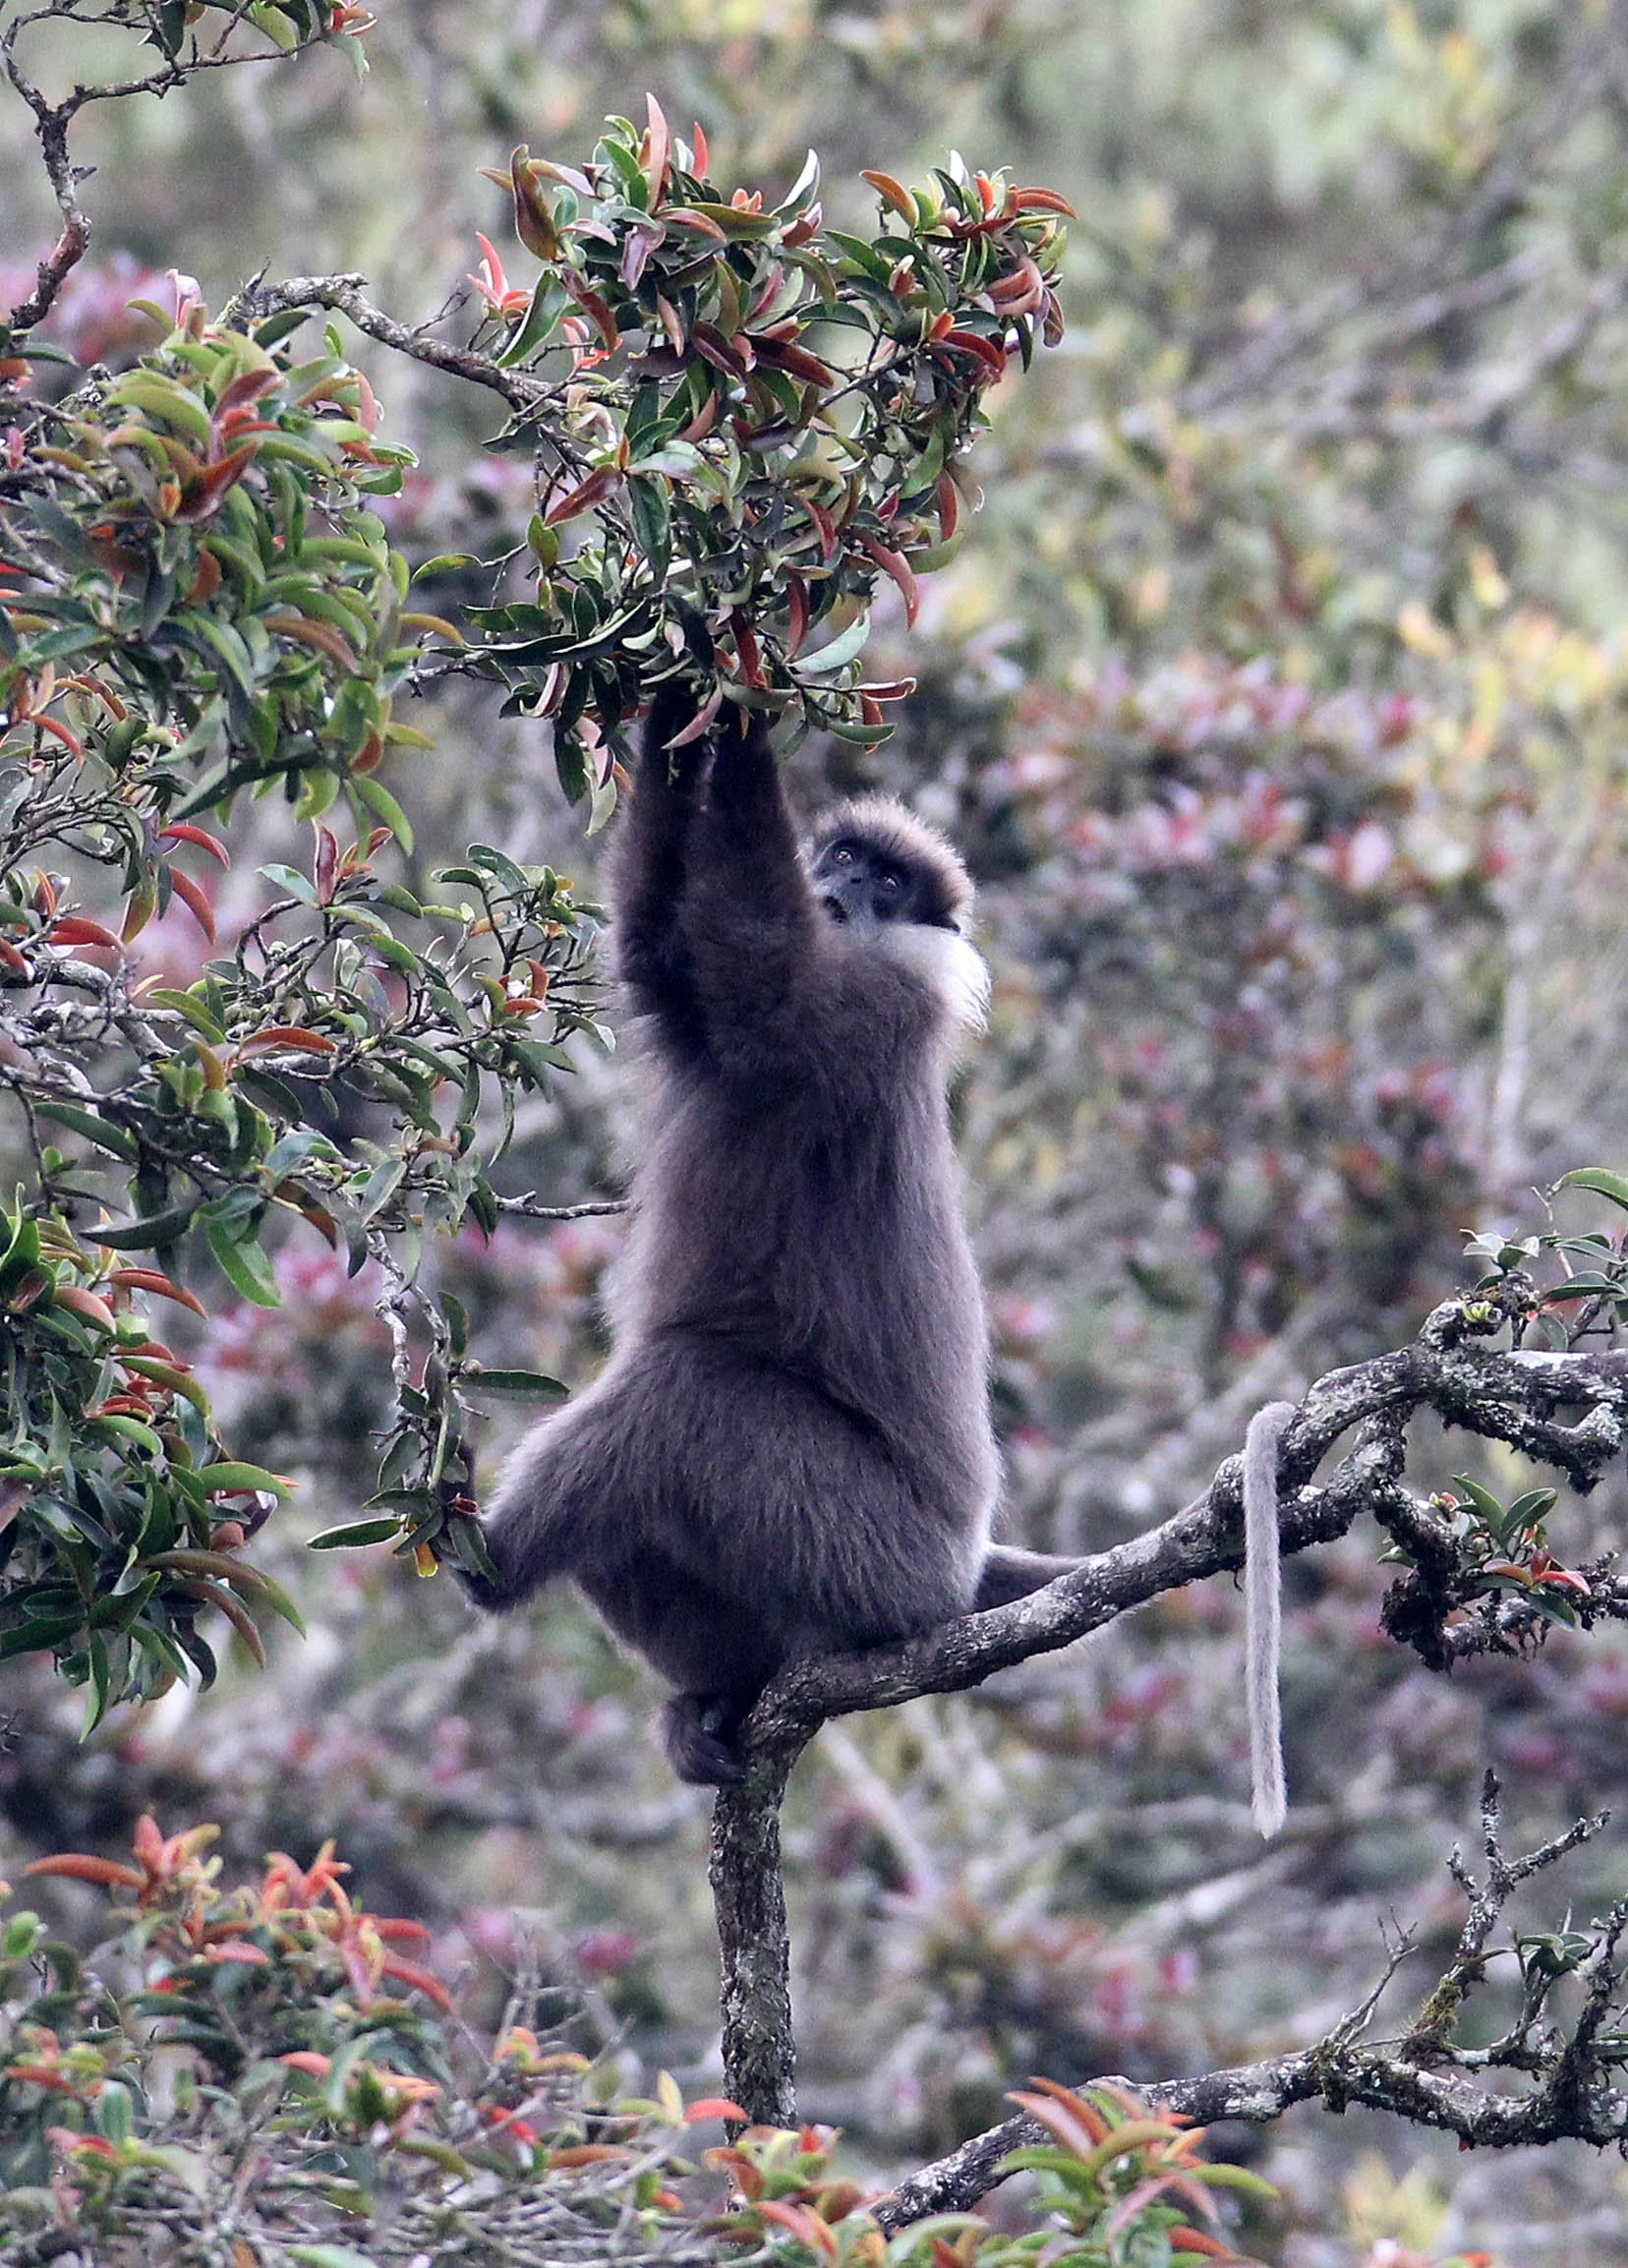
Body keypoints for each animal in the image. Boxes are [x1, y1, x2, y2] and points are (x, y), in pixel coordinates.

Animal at [459, 681, 1079, 1784]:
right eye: (841, 858)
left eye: (887, 880)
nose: (843, 887)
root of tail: (958, 1570)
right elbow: (656, 942)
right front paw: (679, 693)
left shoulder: (870, 1007)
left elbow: (759, 970)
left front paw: (738, 691)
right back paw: (720, 1695)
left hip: (861, 1552)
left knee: (678, 1394)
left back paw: (487, 1565)